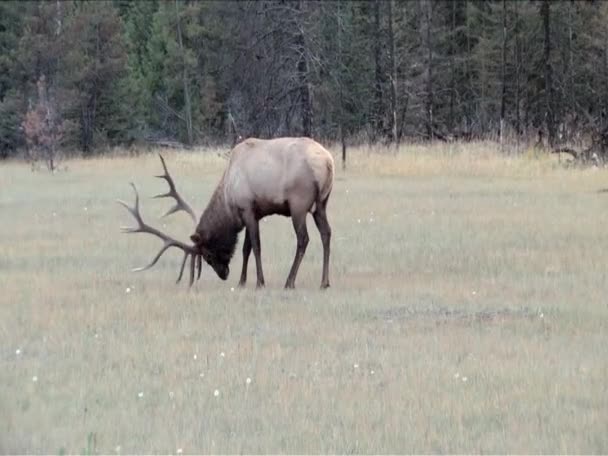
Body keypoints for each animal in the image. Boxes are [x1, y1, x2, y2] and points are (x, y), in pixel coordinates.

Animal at [117, 137, 338, 290]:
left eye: (207, 255)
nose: (223, 274)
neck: (228, 199)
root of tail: (328, 162)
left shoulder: (247, 207)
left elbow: (256, 247)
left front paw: (260, 282)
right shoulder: (253, 213)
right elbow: (246, 248)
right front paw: (241, 281)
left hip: (298, 204)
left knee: (303, 239)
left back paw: (289, 282)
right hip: (322, 203)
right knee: (326, 233)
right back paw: (324, 282)